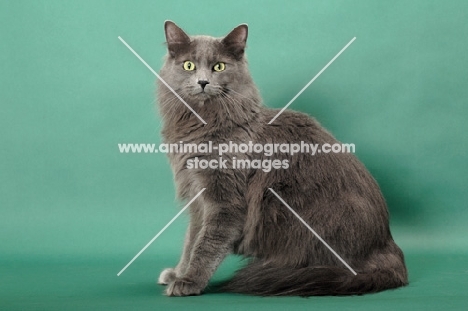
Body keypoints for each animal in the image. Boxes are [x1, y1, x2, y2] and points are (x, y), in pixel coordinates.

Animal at [156, 21, 406, 298]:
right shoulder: (196, 196)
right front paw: (178, 273)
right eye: (188, 65)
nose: (202, 81)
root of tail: (388, 244)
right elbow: (191, 240)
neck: (202, 124)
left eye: (218, 67)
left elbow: (207, 244)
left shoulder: (225, 200)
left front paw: (190, 281)